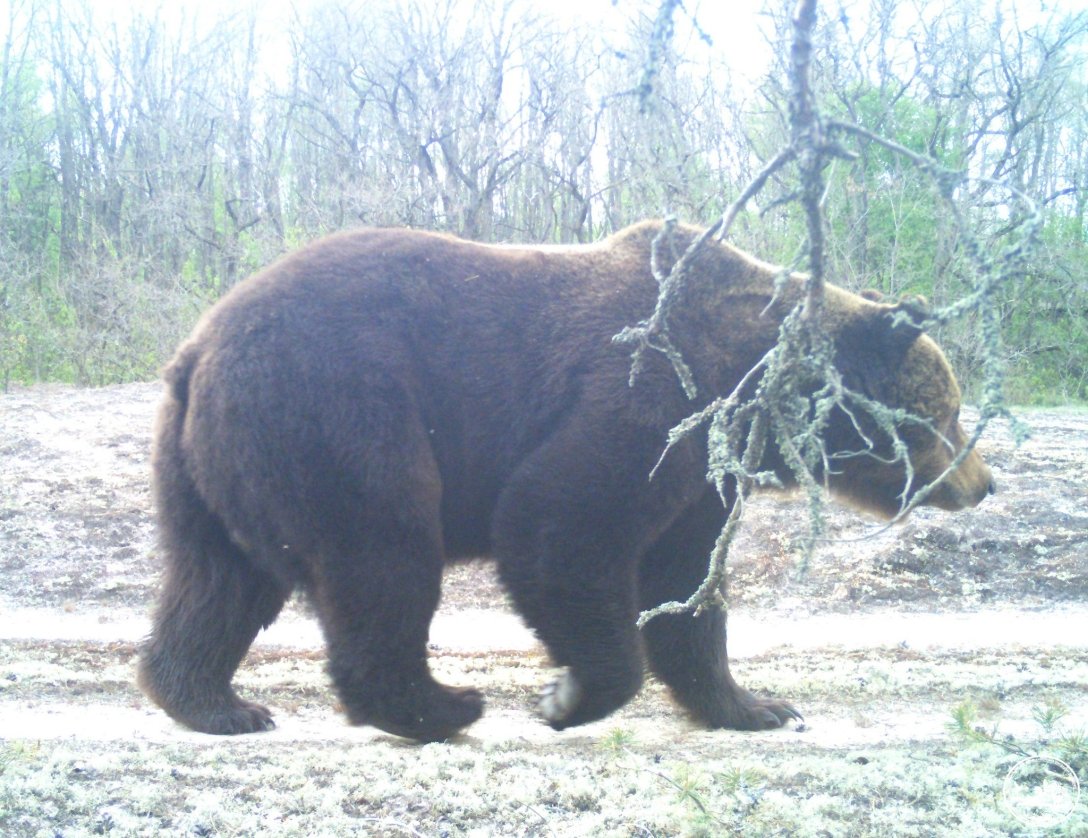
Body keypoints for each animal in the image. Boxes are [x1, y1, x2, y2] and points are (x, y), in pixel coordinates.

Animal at [138, 219, 996, 740]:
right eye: (951, 414)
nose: (983, 483)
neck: (748, 378)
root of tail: (198, 349)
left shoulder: (698, 479)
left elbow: (685, 591)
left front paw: (757, 704)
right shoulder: (648, 397)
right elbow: (558, 522)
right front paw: (570, 695)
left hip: (209, 466)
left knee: (216, 582)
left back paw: (215, 701)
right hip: (340, 412)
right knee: (381, 557)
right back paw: (440, 704)